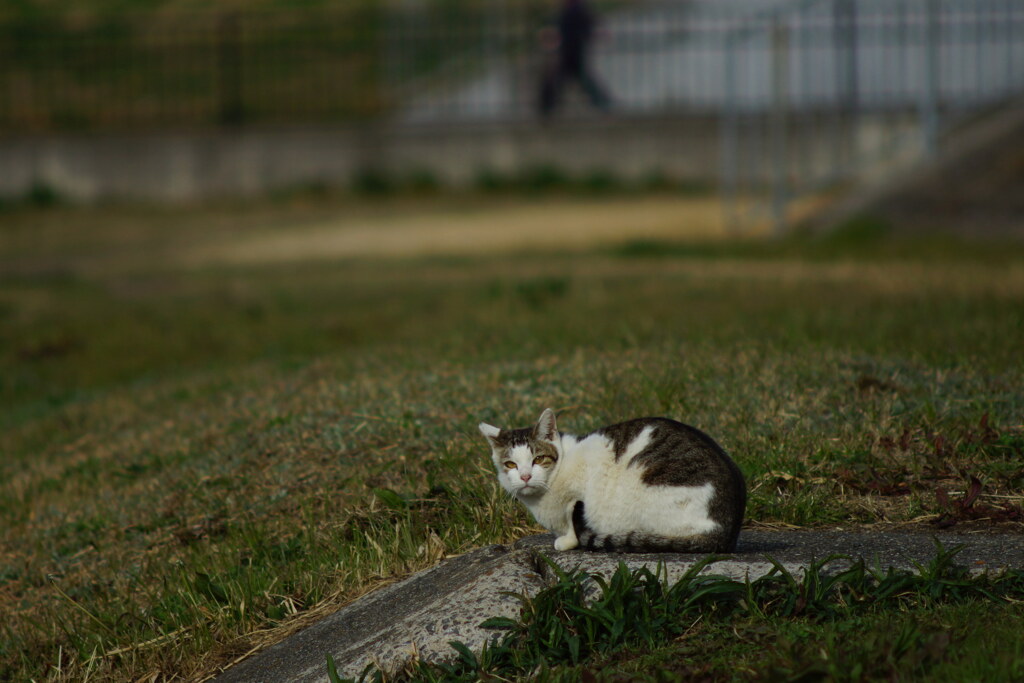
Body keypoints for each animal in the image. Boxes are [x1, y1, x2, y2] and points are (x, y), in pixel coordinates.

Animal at [479, 409, 745, 552]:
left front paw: (566, 541)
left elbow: (572, 521)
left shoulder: (579, 494)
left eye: (538, 459)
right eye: (510, 465)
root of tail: (726, 533)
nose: (525, 476)